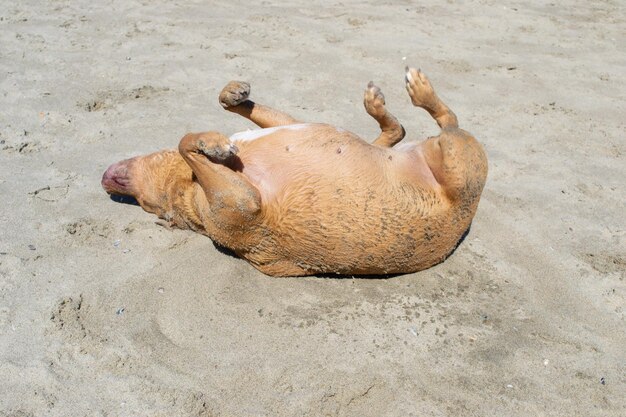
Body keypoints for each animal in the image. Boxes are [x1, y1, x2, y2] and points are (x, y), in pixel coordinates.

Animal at [100, 67, 486, 276]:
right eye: (149, 206)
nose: (105, 181)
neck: (187, 187)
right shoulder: (242, 201)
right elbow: (185, 141)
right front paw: (213, 143)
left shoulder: (286, 123)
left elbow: (225, 105)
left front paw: (234, 94)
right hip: (460, 158)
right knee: (447, 121)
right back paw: (420, 90)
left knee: (398, 131)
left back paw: (379, 104)